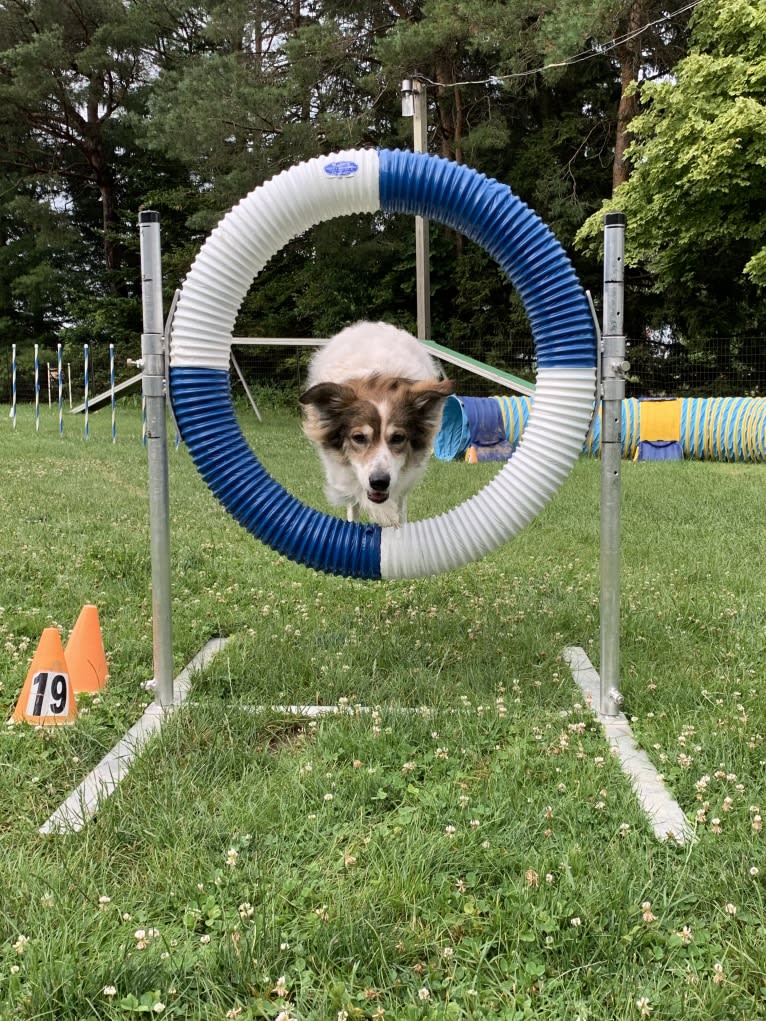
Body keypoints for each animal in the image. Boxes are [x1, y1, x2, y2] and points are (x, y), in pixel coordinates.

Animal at [300, 318, 455, 526]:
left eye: (398, 438)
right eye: (359, 437)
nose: (379, 482)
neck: (377, 384)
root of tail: (372, 324)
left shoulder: (401, 485)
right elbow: (355, 504)